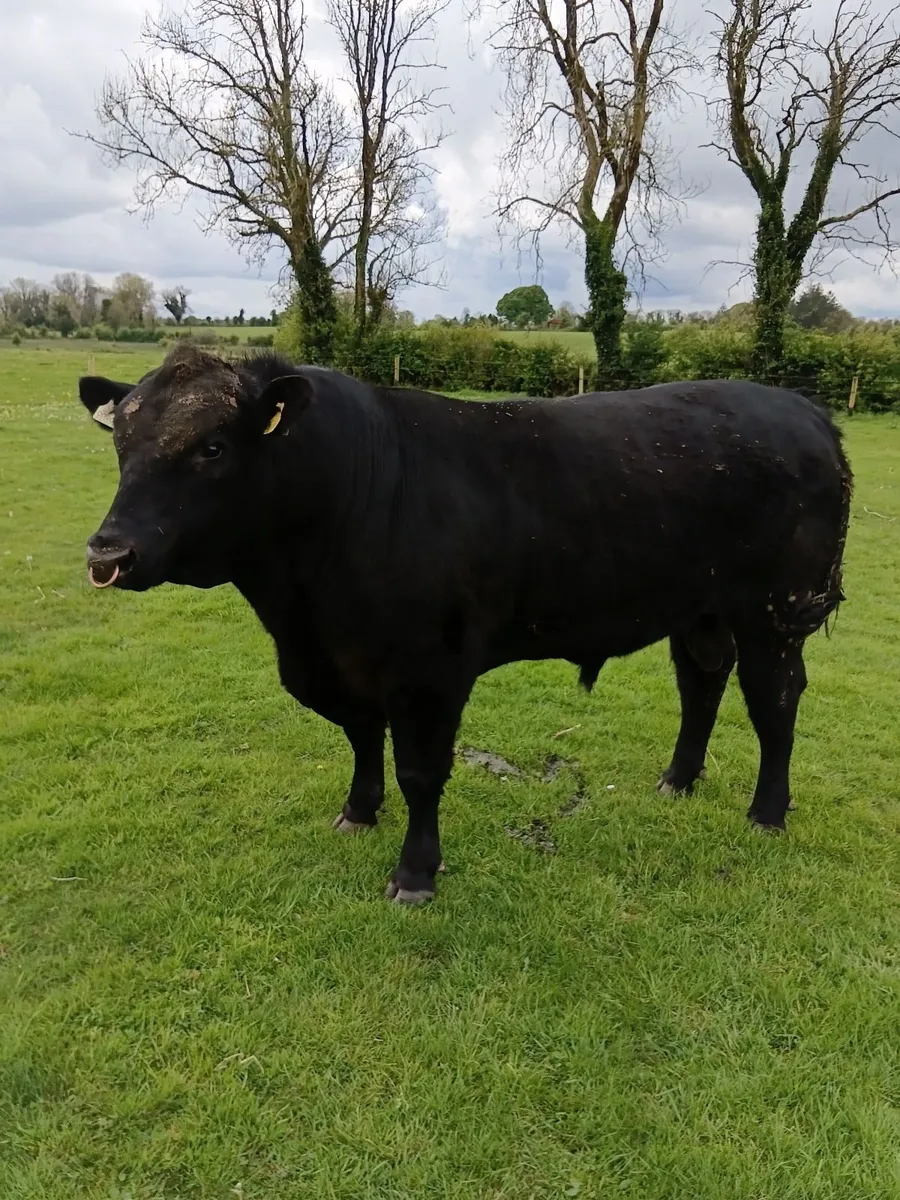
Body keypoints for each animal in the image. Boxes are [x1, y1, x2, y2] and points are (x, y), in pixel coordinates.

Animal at [78, 344, 852, 903]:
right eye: (120, 443)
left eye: (212, 447)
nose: (109, 553)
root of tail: (802, 410)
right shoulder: (345, 661)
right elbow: (362, 740)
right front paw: (358, 811)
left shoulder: (430, 670)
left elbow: (421, 771)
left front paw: (415, 874)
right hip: (702, 609)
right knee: (702, 685)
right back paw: (677, 780)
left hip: (777, 612)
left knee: (775, 703)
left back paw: (767, 813)